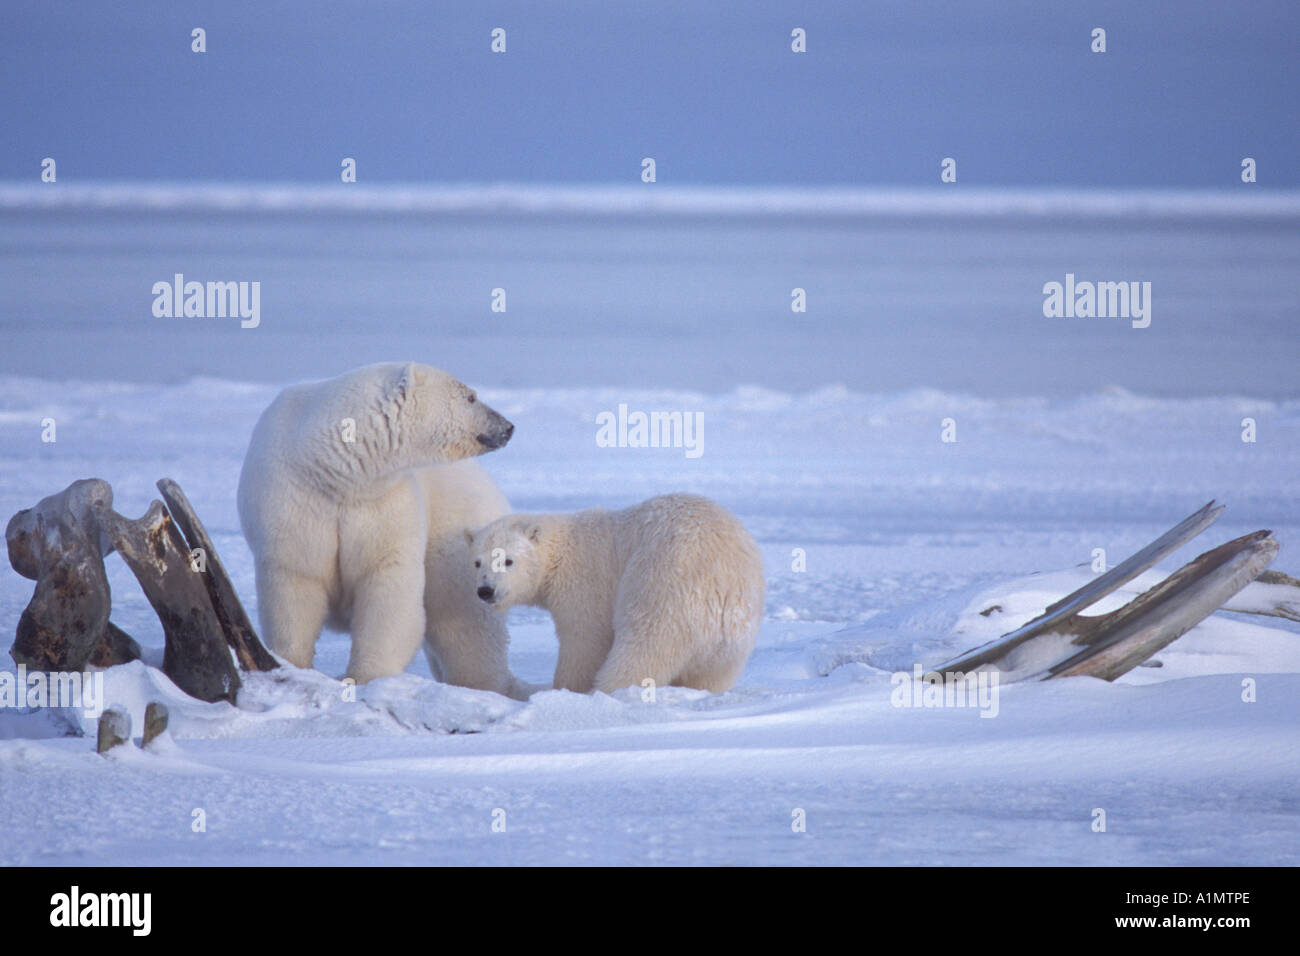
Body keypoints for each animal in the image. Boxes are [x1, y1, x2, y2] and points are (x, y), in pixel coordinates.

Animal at [239, 361, 527, 697]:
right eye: (470, 397)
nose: (507, 427)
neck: (332, 468)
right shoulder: (294, 499)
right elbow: (296, 579)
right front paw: (293, 664)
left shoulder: (386, 501)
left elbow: (387, 585)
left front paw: (365, 676)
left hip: (455, 526)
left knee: (464, 618)